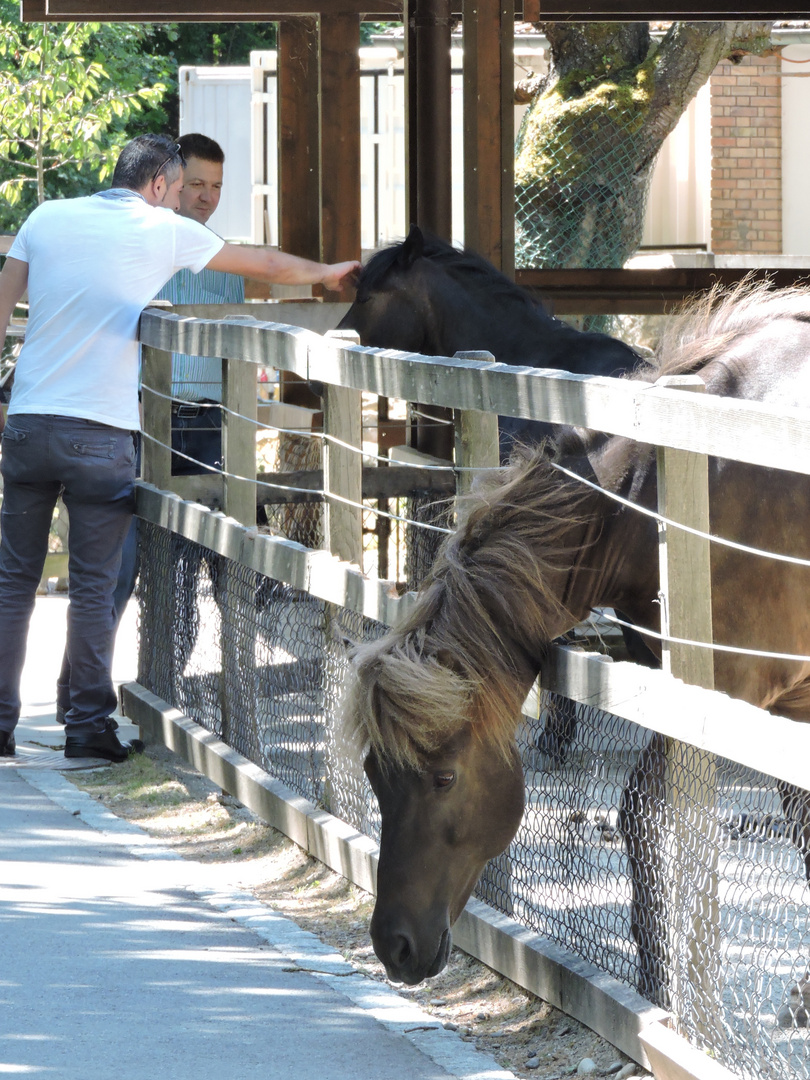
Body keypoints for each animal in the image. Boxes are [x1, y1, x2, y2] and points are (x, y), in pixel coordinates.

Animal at [343, 285, 810, 989]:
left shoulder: (730, 696)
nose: (392, 944)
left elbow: (643, 813)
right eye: (374, 772)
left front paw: (660, 983)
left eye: (444, 779)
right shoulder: (789, 702)